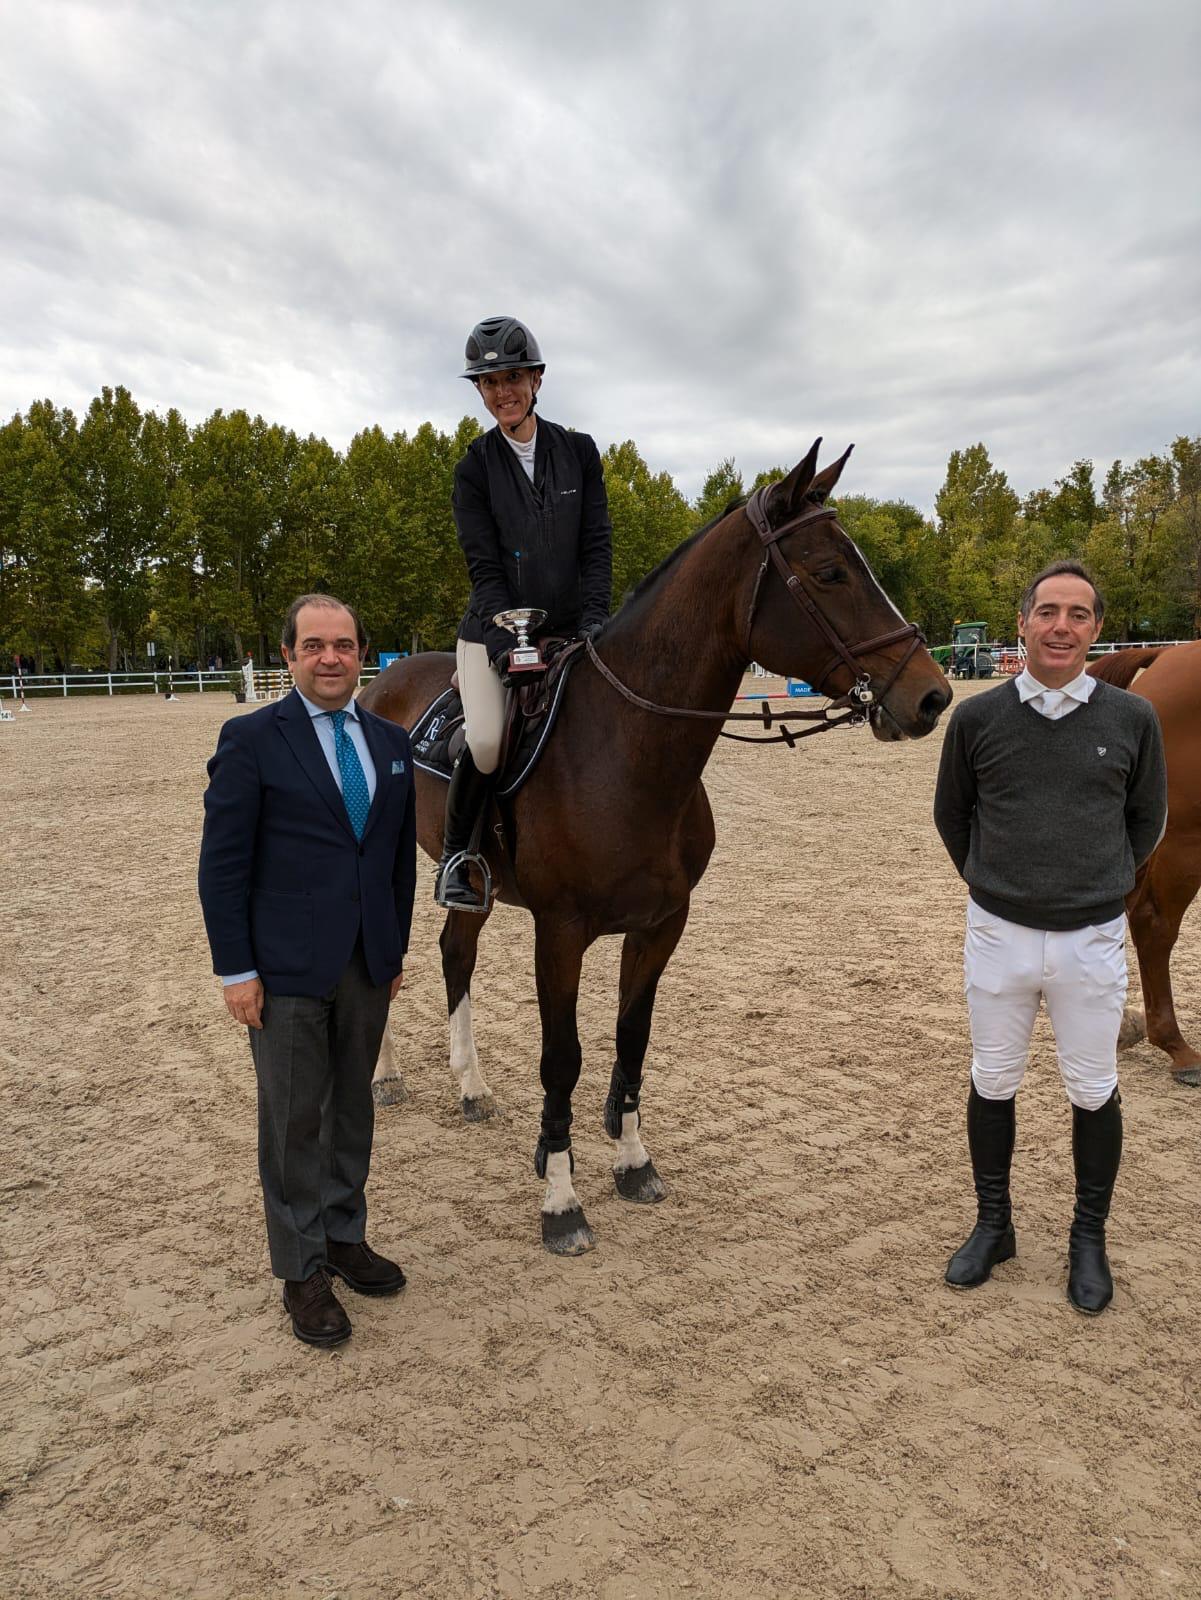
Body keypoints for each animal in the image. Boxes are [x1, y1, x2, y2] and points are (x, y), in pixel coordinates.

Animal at [361, 438, 953, 1248]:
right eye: (830, 572)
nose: (932, 696)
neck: (628, 747)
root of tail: (369, 687)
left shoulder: (661, 925)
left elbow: (630, 1039)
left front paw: (633, 1163)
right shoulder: (560, 933)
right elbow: (563, 1059)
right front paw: (560, 1199)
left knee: (456, 954)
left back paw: (471, 1087)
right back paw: (384, 1076)